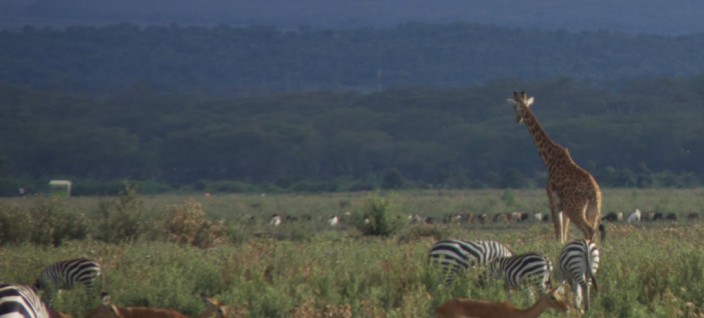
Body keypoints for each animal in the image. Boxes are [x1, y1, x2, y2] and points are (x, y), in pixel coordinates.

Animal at [506, 92, 600, 243]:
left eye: (515, 108)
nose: (517, 120)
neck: (548, 158)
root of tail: (594, 191)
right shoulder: (562, 205)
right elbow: (564, 235)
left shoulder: (552, 199)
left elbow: (558, 234)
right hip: (592, 210)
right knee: (593, 231)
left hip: (574, 208)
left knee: (589, 230)